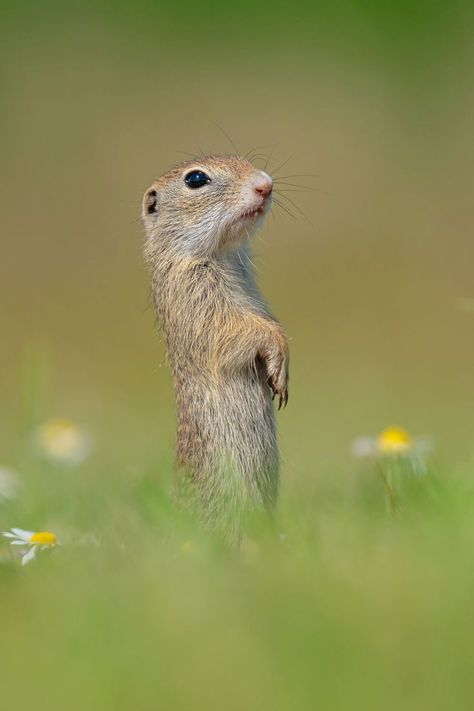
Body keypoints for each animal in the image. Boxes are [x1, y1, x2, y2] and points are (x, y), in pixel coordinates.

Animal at [141, 154, 288, 536]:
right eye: (195, 179)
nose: (265, 184)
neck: (224, 254)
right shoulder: (196, 295)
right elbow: (238, 333)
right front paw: (279, 353)